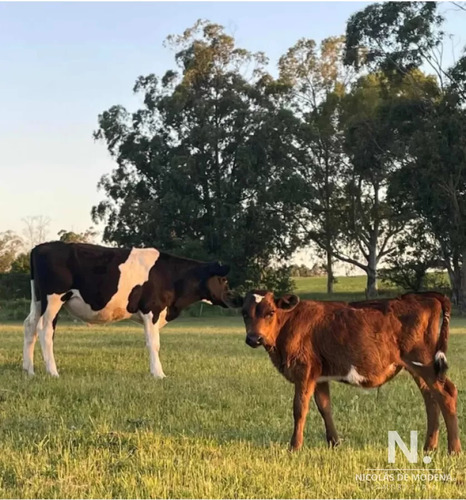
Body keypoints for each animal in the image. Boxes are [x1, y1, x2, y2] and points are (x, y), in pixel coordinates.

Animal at [23, 242, 231, 378]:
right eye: (223, 280)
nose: (234, 298)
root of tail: (39, 247)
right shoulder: (151, 310)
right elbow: (154, 343)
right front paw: (159, 374)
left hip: (38, 299)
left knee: (30, 326)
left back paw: (29, 370)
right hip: (53, 299)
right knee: (45, 331)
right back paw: (53, 372)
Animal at [235, 292, 460, 456]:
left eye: (270, 312)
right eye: (244, 313)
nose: (254, 338)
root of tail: (422, 295)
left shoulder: (304, 371)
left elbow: (299, 408)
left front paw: (294, 446)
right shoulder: (319, 376)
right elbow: (324, 407)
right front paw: (334, 443)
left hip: (424, 362)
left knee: (446, 394)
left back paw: (454, 450)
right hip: (418, 368)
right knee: (431, 399)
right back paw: (429, 447)